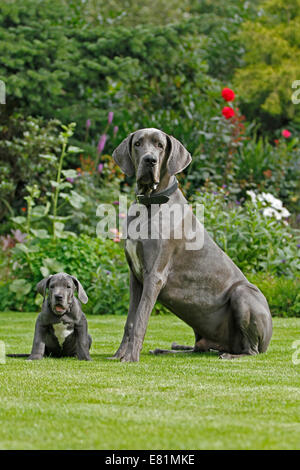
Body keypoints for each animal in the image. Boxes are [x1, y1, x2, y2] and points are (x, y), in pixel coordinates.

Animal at [110, 129, 272, 364]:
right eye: (138, 143)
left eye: (160, 145)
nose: (150, 160)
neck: (150, 203)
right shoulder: (135, 277)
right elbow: (130, 320)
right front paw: (119, 354)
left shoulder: (154, 276)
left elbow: (140, 318)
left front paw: (130, 357)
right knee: (199, 348)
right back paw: (169, 349)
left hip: (243, 293)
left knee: (251, 351)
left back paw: (230, 355)